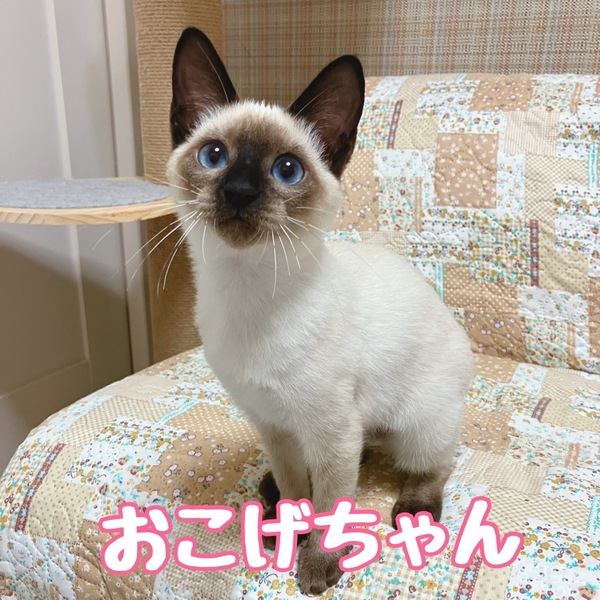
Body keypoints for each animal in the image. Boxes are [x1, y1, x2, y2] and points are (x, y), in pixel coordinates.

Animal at [167, 27, 474, 594]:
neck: (248, 297)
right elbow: (298, 490)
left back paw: (415, 511)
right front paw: (289, 528)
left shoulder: (330, 428)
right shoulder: (273, 424)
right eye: (214, 156)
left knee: (430, 463)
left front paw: (316, 566)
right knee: (354, 455)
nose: (239, 192)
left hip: (419, 422)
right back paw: (267, 498)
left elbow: (332, 505)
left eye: (286, 170)